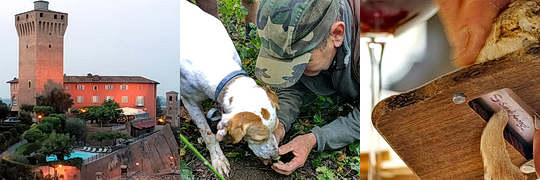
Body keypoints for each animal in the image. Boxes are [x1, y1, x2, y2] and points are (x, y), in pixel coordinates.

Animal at [180, 0, 278, 176]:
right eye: (259, 139)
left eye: (276, 128)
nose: (276, 156)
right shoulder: (189, 101)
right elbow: (207, 133)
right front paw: (218, 159)